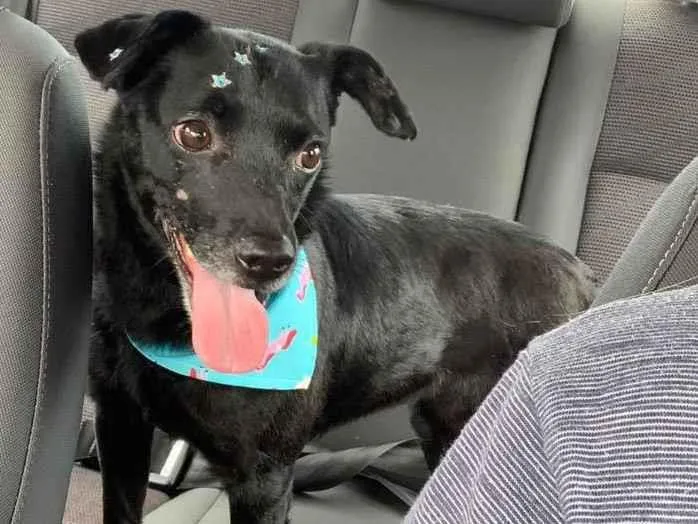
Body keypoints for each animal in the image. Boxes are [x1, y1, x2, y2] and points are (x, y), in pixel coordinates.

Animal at [75, 10, 597, 523]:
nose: (271, 263)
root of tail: (583, 274)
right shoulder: (119, 428)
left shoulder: (264, 478)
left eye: (311, 154)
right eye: (193, 133)